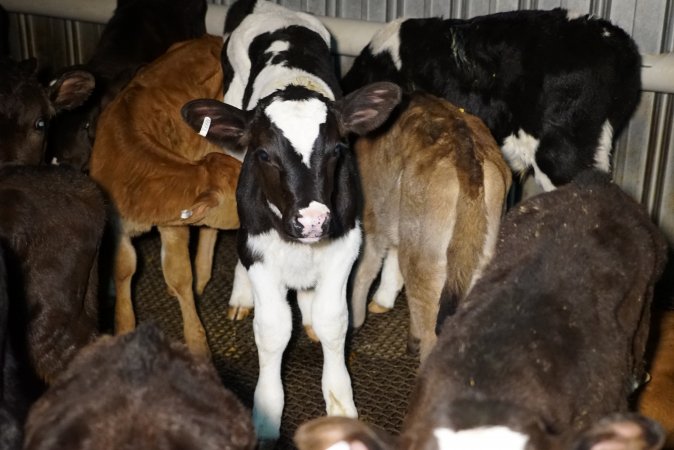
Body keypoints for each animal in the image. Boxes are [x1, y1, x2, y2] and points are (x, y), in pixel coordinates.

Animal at [90, 35, 239, 356]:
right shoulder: (118, 227)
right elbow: (124, 269)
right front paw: (124, 328)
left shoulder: (174, 224)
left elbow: (179, 273)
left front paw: (197, 344)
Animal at [180, 0, 400, 442]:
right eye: (264, 154)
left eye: (337, 149)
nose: (312, 220)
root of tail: (270, 8)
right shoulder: (260, 250)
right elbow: (273, 329)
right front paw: (266, 415)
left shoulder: (345, 244)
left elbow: (334, 322)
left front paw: (341, 403)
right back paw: (241, 294)